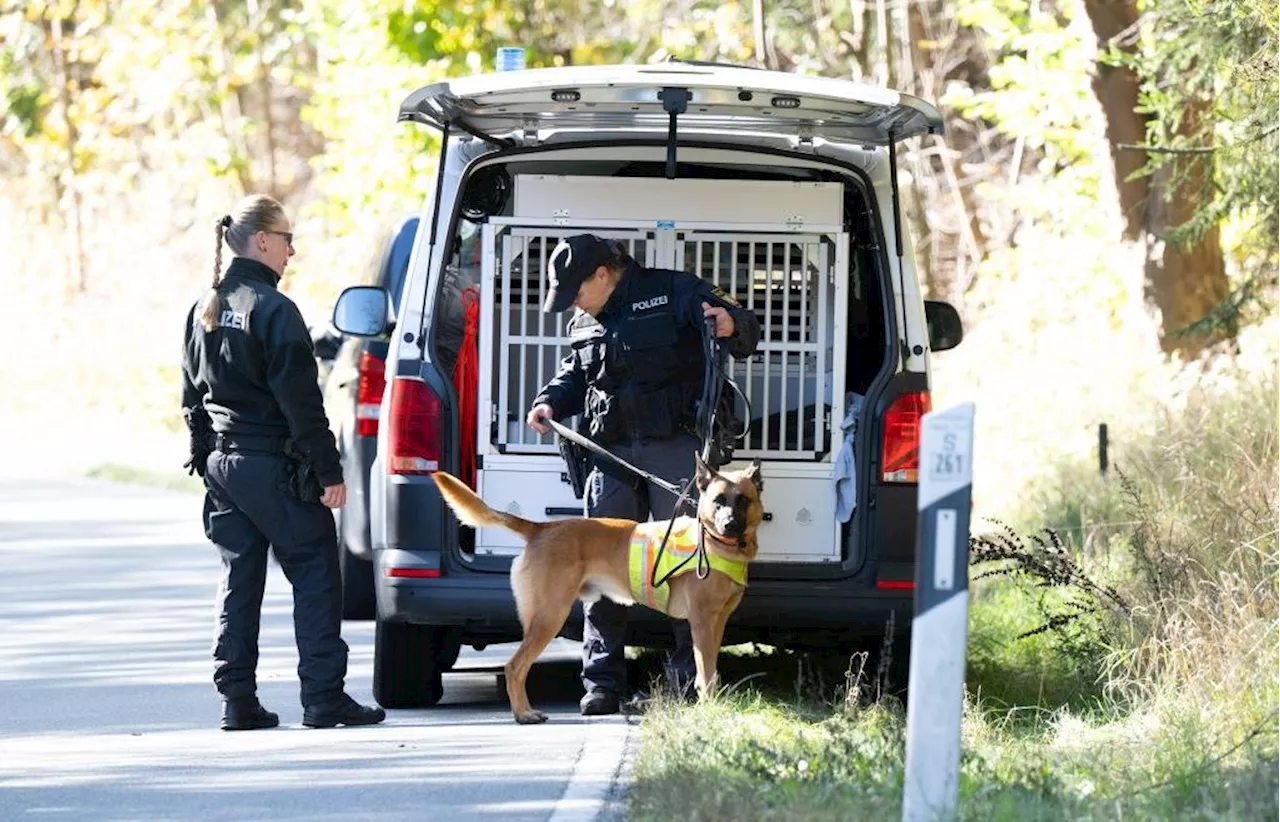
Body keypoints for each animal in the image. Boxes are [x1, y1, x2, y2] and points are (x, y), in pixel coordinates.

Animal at [435, 455, 762, 722]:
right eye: (718, 500)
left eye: (743, 500)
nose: (729, 525)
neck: (718, 543)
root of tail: (541, 528)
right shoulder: (702, 623)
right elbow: (705, 672)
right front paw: (709, 709)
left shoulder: (717, 623)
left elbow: (711, 670)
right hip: (549, 617)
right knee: (514, 667)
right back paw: (524, 714)